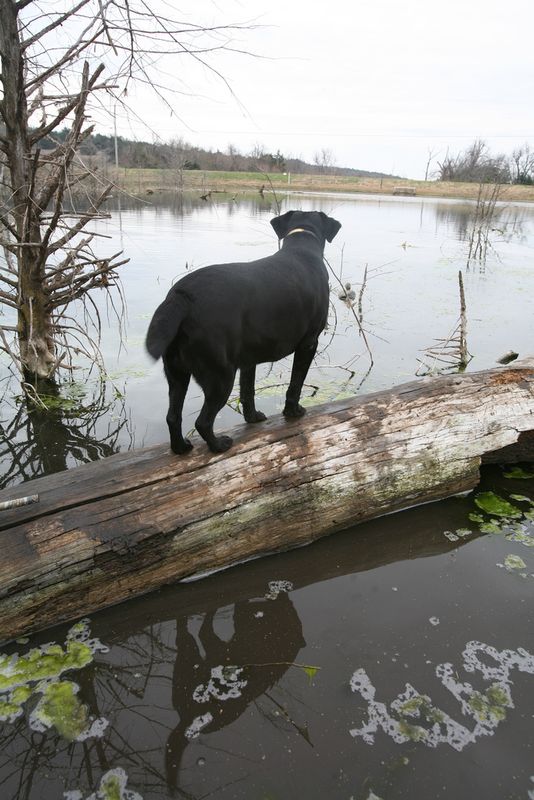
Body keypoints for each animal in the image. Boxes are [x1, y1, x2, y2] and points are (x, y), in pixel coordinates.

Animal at [144, 209, 342, 454]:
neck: (302, 245)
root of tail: (181, 297)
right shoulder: (309, 343)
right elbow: (296, 382)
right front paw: (293, 412)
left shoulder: (248, 359)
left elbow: (248, 390)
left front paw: (253, 417)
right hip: (220, 374)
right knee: (202, 421)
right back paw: (219, 445)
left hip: (176, 372)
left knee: (173, 416)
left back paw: (181, 447)